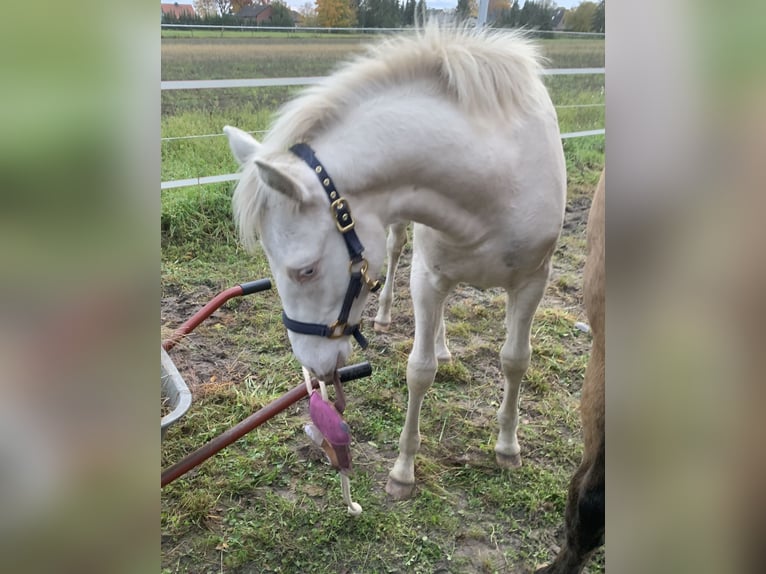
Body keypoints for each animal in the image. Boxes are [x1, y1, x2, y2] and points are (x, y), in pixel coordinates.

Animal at [225, 23, 568, 500]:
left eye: (306, 270)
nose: (314, 369)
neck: (494, 184)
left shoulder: (534, 281)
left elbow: (516, 360)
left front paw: (507, 446)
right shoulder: (427, 279)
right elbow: (420, 370)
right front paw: (403, 470)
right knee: (396, 250)